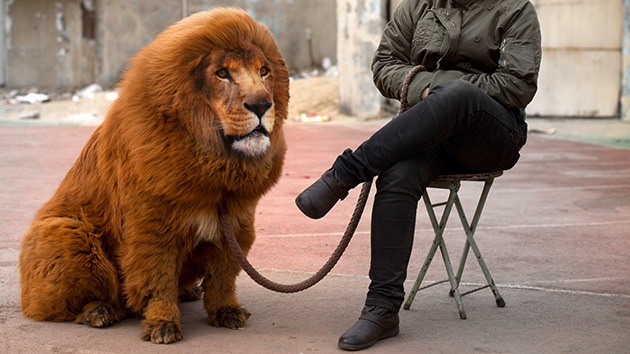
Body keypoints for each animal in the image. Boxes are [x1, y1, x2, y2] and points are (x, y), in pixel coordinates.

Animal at [19, 7, 290, 346]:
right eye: (222, 74)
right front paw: (163, 325)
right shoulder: (152, 228)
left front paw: (226, 311)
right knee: (69, 303)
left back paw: (186, 291)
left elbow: (222, 278)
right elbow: (156, 280)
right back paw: (99, 311)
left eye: (264, 71)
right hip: (66, 231)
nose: (262, 104)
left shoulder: (237, 223)